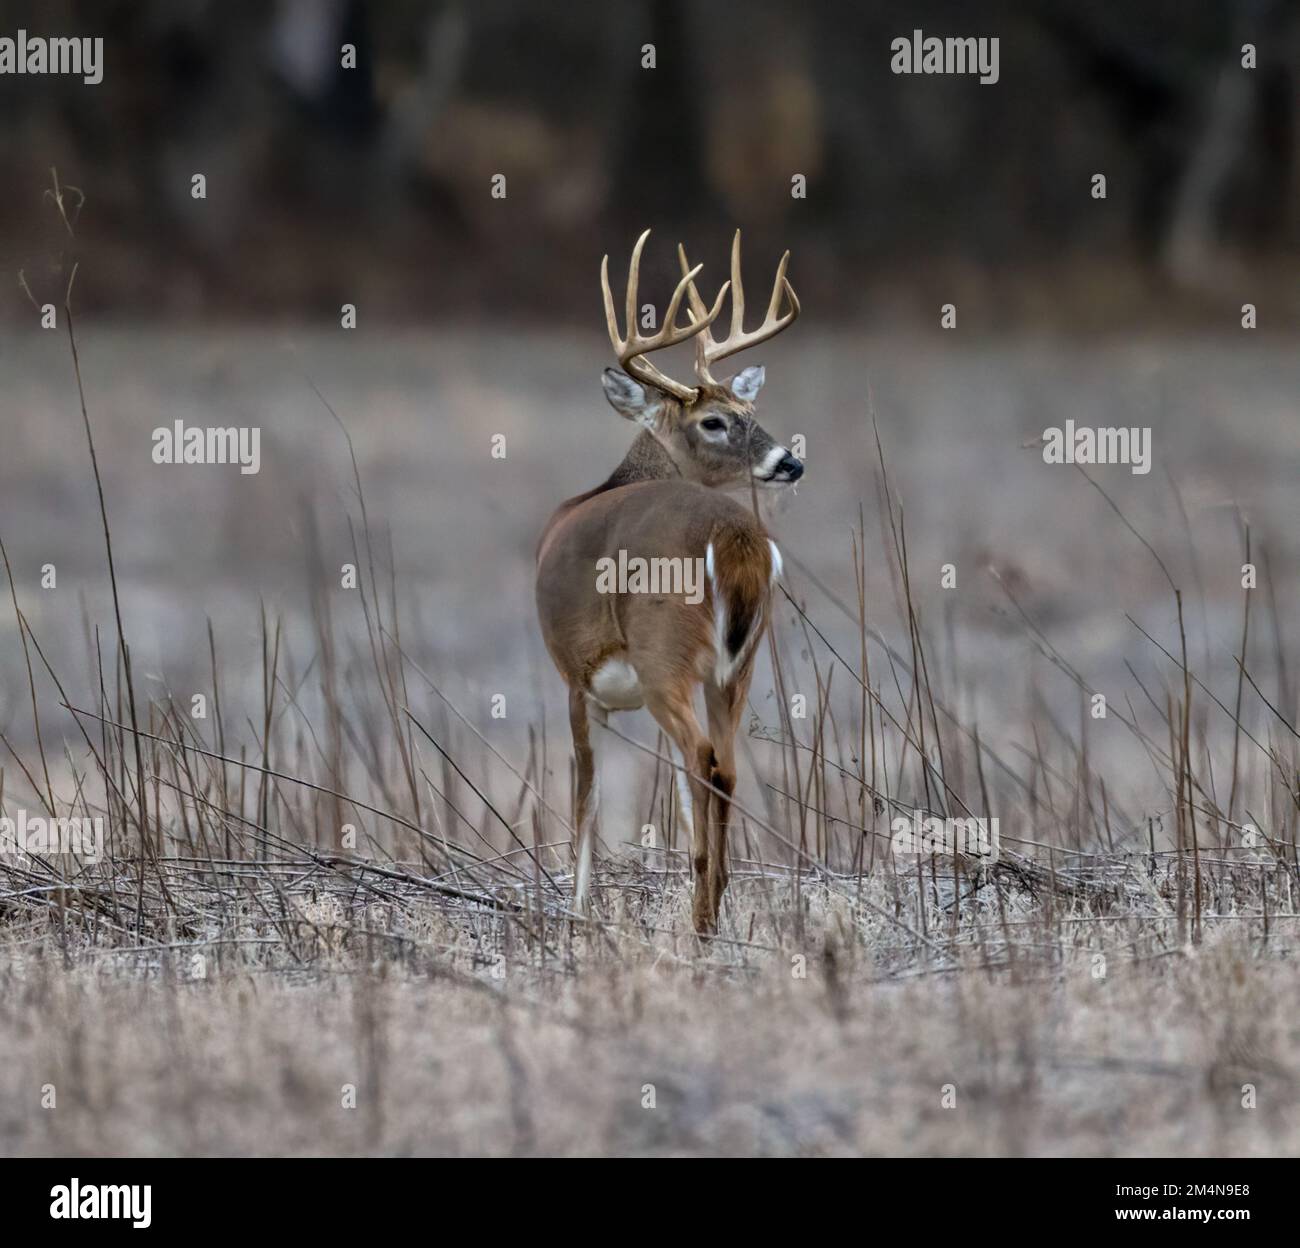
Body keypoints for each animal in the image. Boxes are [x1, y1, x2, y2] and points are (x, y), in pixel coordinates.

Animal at [535, 228, 800, 930]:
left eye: (751, 407)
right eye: (716, 419)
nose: (790, 461)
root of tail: (732, 538)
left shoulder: (577, 680)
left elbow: (586, 804)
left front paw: (578, 918)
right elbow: (676, 798)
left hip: (663, 651)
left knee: (704, 756)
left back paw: (703, 915)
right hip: (734, 664)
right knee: (722, 765)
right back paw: (709, 911)